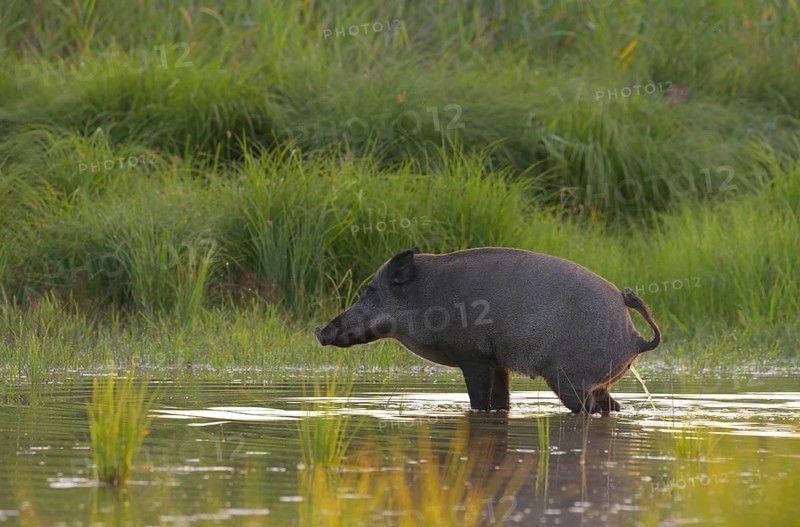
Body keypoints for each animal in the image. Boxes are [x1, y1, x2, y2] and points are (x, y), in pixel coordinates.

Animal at [315, 247, 660, 414]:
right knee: (612, 407)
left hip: (569, 379)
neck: (426, 298)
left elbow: (480, 401)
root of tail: (636, 339)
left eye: (369, 290)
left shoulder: (473, 357)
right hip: (600, 381)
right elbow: (501, 402)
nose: (320, 331)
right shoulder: (498, 363)